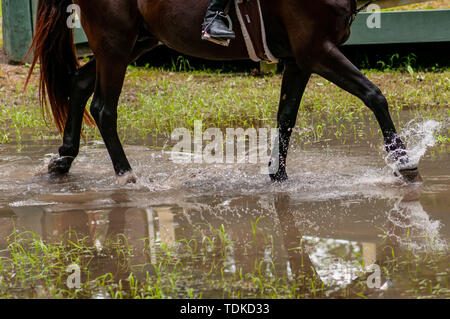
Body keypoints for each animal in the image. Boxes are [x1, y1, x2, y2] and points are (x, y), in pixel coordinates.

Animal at [25, 0, 418, 184]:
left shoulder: (300, 60)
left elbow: (286, 116)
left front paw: (278, 175)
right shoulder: (317, 51)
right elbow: (374, 95)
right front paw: (404, 162)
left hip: (135, 41)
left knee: (79, 84)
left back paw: (64, 159)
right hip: (114, 44)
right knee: (104, 108)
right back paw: (126, 175)